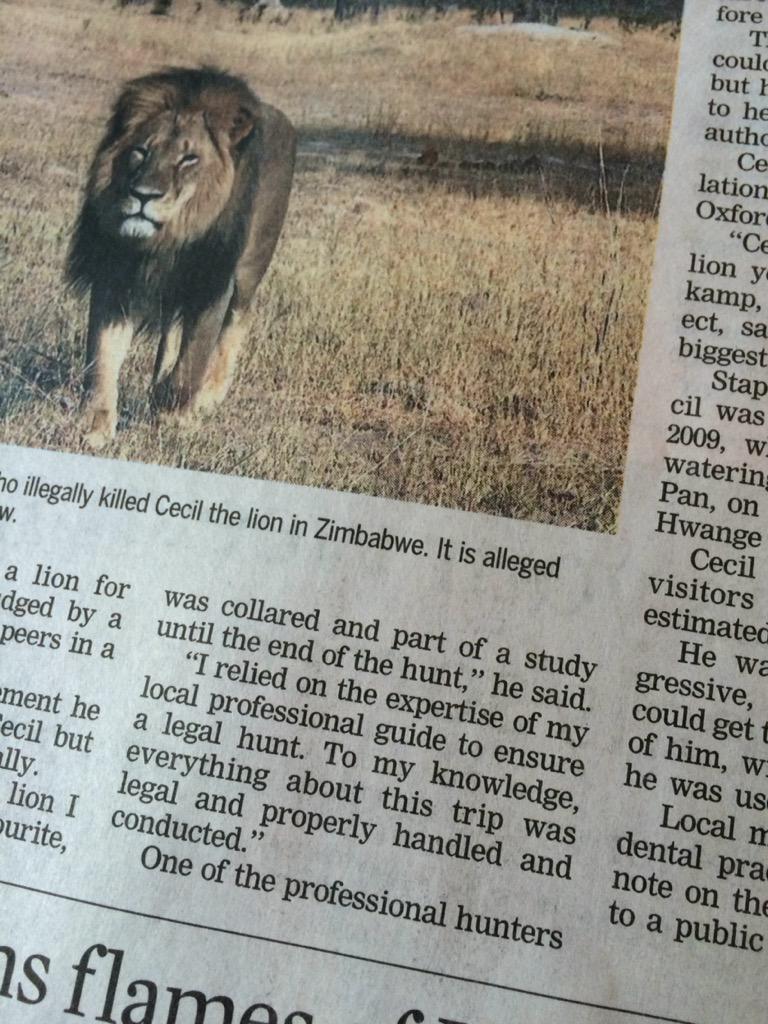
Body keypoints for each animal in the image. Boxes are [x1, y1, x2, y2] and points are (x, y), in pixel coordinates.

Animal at [67, 66, 296, 449]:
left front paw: (175, 416)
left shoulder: (212, 283)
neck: (167, 240)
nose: (144, 195)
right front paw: (94, 427)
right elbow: (102, 356)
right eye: (140, 151)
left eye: (189, 159)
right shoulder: (115, 279)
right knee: (173, 329)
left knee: (237, 323)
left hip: (251, 268)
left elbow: (194, 358)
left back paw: (206, 397)